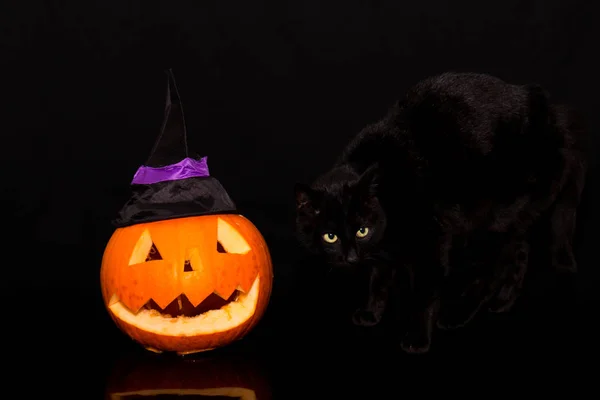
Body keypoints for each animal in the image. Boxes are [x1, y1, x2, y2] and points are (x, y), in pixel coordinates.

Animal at [292, 71, 588, 354]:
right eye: (330, 236)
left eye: (361, 230)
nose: (351, 257)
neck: (388, 189)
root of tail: (552, 112)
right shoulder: (382, 248)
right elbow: (378, 280)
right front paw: (371, 313)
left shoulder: (431, 243)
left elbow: (423, 295)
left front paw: (417, 340)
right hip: (513, 220)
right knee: (520, 252)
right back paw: (503, 302)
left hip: (491, 224)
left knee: (491, 271)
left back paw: (458, 314)